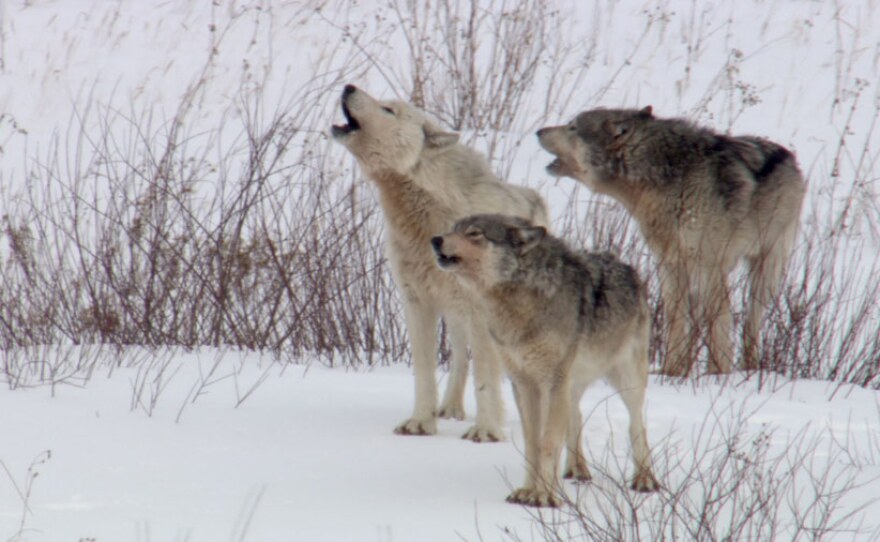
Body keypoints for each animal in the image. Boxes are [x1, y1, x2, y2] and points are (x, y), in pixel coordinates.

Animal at [332, 86, 552, 442]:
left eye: (389, 110)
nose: (348, 87)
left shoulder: (480, 311)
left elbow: (487, 377)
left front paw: (486, 431)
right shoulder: (417, 302)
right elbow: (425, 372)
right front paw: (420, 422)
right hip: (455, 313)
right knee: (461, 358)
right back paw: (449, 409)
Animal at [430, 216, 656, 510]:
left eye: (474, 233)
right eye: (453, 229)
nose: (435, 239)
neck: (520, 302)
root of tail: (628, 267)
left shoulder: (553, 382)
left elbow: (548, 443)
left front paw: (543, 496)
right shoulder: (524, 384)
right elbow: (533, 444)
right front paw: (528, 491)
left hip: (626, 380)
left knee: (636, 424)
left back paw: (645, 479)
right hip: (572, 385)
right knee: (576, 417)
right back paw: (576, 470)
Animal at [536, 108, 804, 376]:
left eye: (572, 127)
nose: (538, 131)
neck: (666, 179)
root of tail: (790, 157)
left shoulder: (710, 266)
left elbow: (719, 321)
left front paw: (717, 374)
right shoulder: (669, 266)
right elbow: (675, 322)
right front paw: (672, 372)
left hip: (765, 272)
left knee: (750, 324)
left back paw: (750, 370)